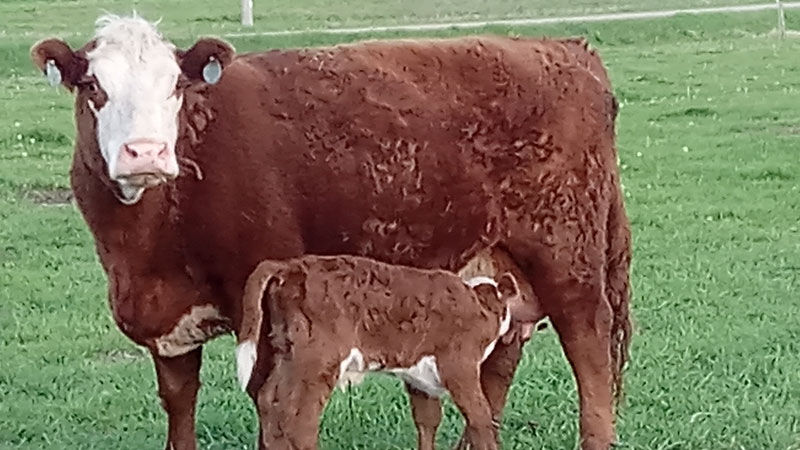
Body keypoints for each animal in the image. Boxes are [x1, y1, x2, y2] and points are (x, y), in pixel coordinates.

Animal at [236, 255, 522, 450]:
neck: (479, 304)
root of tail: (288, 266)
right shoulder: (460, 365)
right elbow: (480, 416)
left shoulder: (419, 377)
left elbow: (427, 420)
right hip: (317, 360)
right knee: (297, 414)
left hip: (287, 351)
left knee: (268, 400)